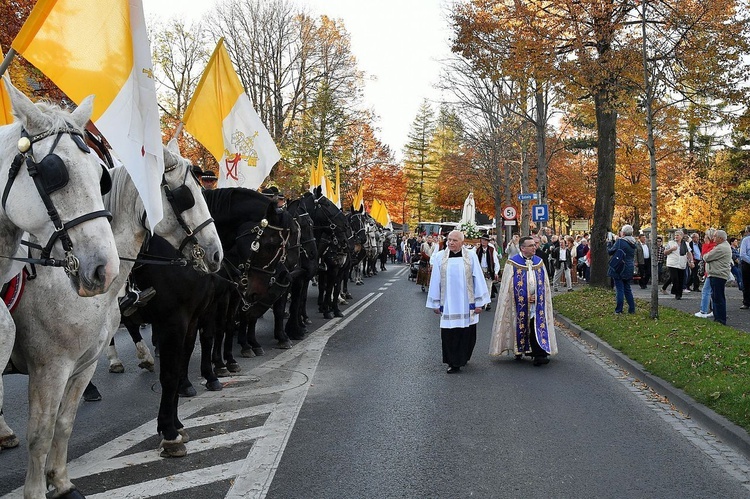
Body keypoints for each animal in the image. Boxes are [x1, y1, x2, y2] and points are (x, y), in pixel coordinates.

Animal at [8, 138, 223, 499]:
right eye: (186, 196)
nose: (216, 253)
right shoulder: (50, 366)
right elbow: (170, 374)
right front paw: (170, 434)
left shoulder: (188, 320)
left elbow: (65, 421)